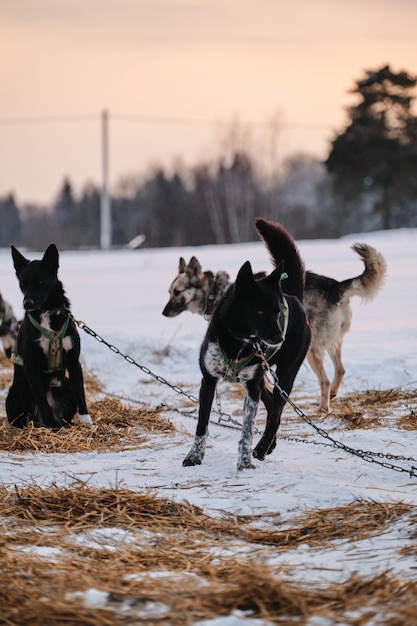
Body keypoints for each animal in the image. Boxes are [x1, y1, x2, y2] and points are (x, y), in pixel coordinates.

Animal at [5, 244, 92, 428]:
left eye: (40, 282)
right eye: (22, 284)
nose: (27, 304)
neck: (48, 311)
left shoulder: (74, 362)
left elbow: (81, 395)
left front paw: (87, 423)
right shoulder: (31, 366)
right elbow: (41, 400)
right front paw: (52, 426)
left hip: (66, 385)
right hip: (17, 390)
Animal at [163, 227, 386, 412]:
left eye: (177, 292)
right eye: (169, 291)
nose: (164, 312)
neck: (215, 292)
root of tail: (334, 287)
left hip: (312, 350)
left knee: (324, 379)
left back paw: (323, 408)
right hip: (331, 343)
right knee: (340, 370)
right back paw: (331, 395)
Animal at [181, 219, 308, 468]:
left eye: (277, 313)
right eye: (259, 311)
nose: (280, 339)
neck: (238, 340)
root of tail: (294, 297)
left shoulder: (250, 387)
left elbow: (247, 429)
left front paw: (245, 462)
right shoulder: (208, 381)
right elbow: (202, 425)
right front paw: (194, 456)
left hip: (285, 376)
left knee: (275, 414)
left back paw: (261, 448)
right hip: (263, 379)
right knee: (271, 405)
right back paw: (269, 446)